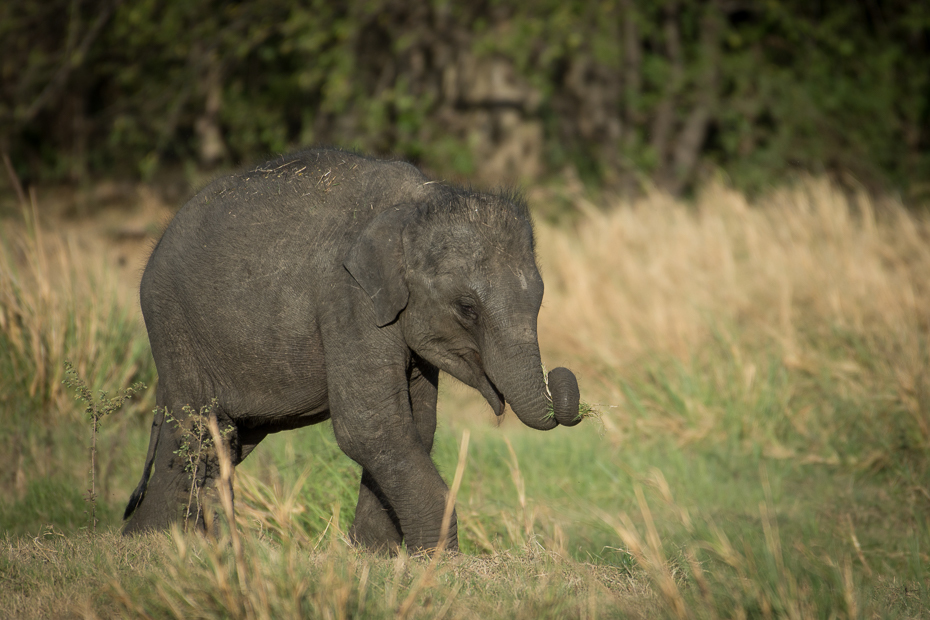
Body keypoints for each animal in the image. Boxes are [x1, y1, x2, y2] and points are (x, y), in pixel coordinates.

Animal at [123, 147, 580, 552]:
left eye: (539, 301)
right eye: (467, 308)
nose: (560, 374)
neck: (420, 201)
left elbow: (414, 426)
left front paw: (375, 554)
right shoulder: (348, 297)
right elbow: (370, 426)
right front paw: (437, 562)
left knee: (227, 441)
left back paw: (157, 539)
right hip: (172, 322)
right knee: (199, 429)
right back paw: (167, 543)